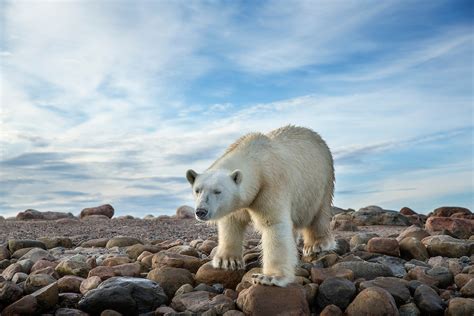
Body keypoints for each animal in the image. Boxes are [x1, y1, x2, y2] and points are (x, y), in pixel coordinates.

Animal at [183, 125, 336, 286]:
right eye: (197, 190)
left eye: (218, 191)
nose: (201, 211)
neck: (255, 158)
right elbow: (231, 222)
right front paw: (228, 261)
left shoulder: (271, 185)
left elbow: (274, 224)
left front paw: (270, 277)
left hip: (321, 182)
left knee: (319, 214)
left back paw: (316, 245)